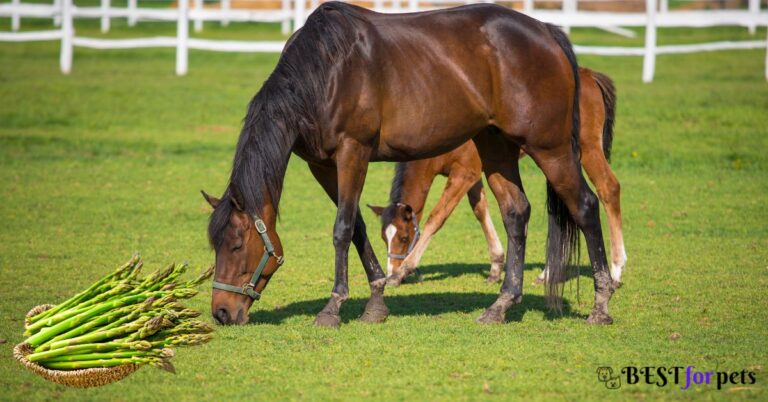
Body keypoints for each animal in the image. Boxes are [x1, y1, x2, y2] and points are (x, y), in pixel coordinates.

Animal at [366, 67, 624, 288]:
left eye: (404, 236)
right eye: (384, 237)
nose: (390, 272)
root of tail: (589, 75)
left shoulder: (464, 174)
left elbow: (437, 217)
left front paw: (406, 268)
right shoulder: (472, 176)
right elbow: (480, 209)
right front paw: (496, 266)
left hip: (586, 149)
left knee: (608, 188)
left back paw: (615, 271)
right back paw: (547, 274)